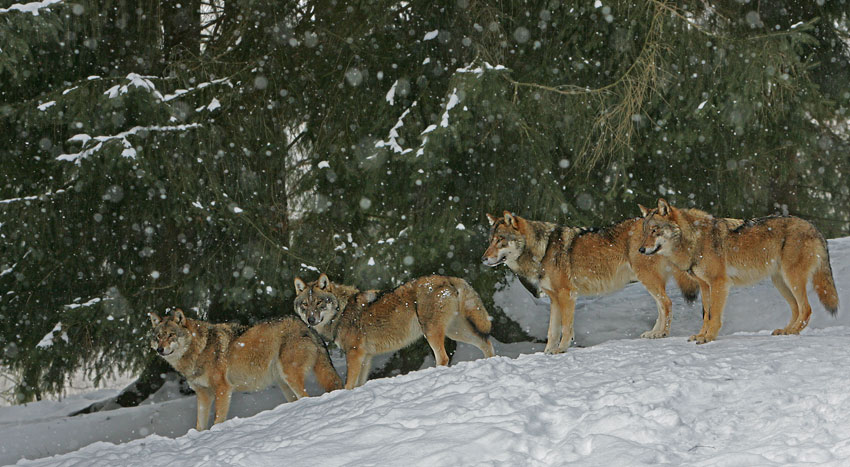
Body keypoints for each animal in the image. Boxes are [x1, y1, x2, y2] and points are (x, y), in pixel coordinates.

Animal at [149, 310, 342, 432]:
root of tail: (306, 326)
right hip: (284, 384)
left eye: (171, 335)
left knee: (307, 397)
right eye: (158, 336)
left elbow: (217, 419)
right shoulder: (203, 394)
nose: (160, 349)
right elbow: (199, 424)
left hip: (290, 376)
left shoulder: (222, 389)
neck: (199, 350)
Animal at [292, 272, 494, 390]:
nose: (311, 319)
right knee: (486, 342)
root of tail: (449, 277)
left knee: (443, 358)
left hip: (431, 332)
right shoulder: (366, 357)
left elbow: (349, 384)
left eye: (319, 303)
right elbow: (359, 383)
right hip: (456, 332)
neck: (341, 311)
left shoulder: (354, 354)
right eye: (305, 305)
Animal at [480, 210, 700, 352]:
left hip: (647, 279)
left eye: (500, 240)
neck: (542, 252)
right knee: (662, 306)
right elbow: (552, 331)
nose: (483, 259)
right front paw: (548, 353)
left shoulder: (567, 295)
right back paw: (654, 332)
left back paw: (662, 334)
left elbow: (566, 328)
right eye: (490, 240)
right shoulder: (554, 299)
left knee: (667, 303)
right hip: (648, 281)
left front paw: (561, 349)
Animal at [636, 197, 836, 344]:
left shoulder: (719, 283)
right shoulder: (704, 286)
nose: (640, 250)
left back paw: (793, 331)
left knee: (807, 309)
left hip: (792, 279)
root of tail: (815, 228)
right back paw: (786, 330)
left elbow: (714, 314)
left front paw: (709, 337)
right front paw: (701, 335)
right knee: (796, 309)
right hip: (780, 283)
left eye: (655, 230)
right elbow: (706, 315)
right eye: (645, 231)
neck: (694, 239)